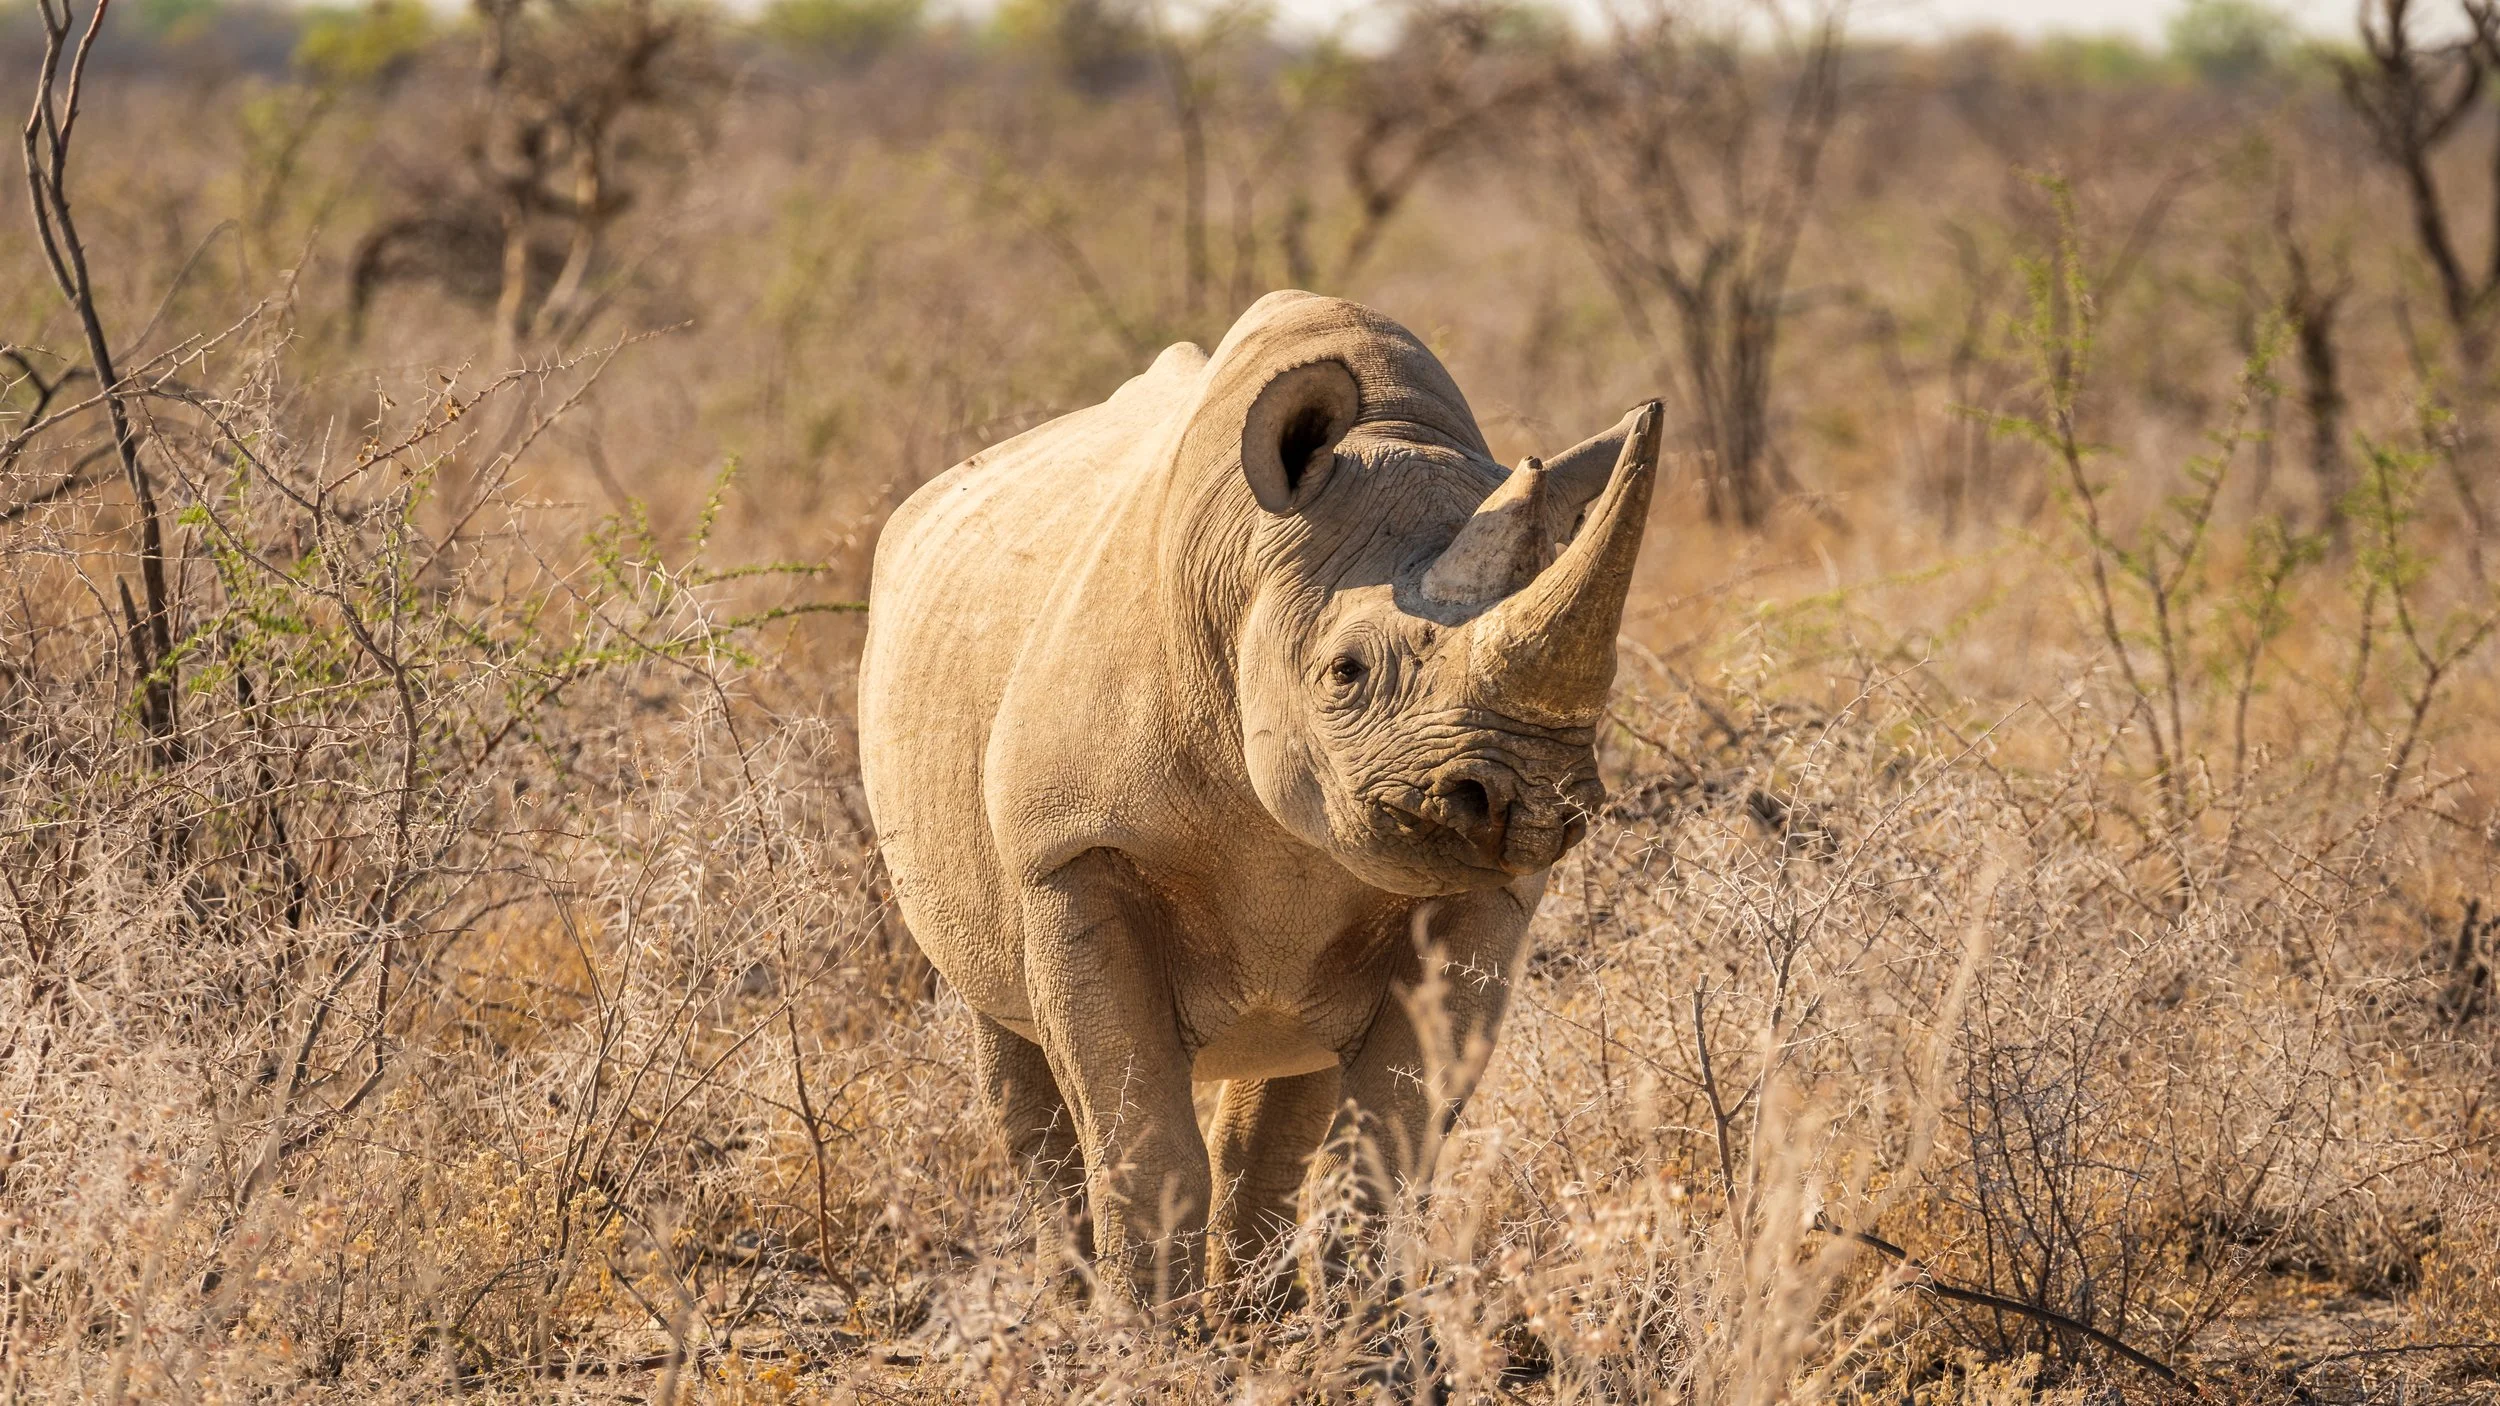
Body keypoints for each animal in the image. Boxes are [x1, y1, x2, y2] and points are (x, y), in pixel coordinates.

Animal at [857, 290, 1661, 1305]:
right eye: (1345, 672)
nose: (1526, 797)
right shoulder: (1071, 847)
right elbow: (1139, 1145)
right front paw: (1139, 1337)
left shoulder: (1488, 891)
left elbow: (1386, 1148)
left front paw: (1365, 1345)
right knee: (1005, 1038)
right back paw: (1067, 1311)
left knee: (1289, 1058)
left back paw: (1256, 1315)